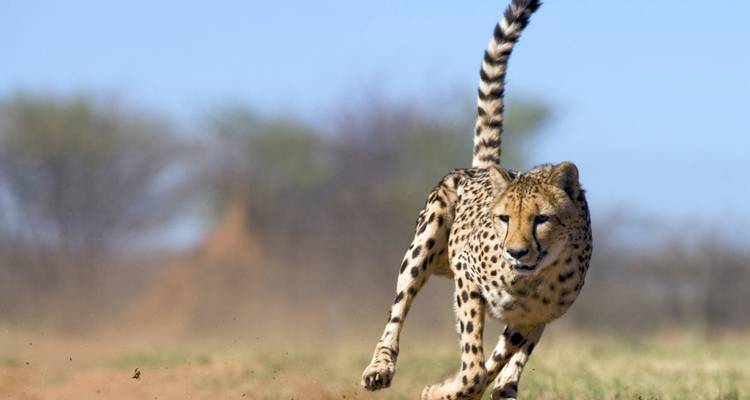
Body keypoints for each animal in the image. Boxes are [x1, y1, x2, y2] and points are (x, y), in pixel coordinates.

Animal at [360, 0, 593, 399]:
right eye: (504, 218)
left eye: (541, 219)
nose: (516, 251)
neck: (529, 278)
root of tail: (485, 168)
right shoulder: (467, 281)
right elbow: (473, 365)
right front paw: (445, 389)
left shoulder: (531, 317)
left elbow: (493, 362)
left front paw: (453, 387)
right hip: (426, 241)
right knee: (399, 309)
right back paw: (380, 368)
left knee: (509, 359)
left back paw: (506, 384)